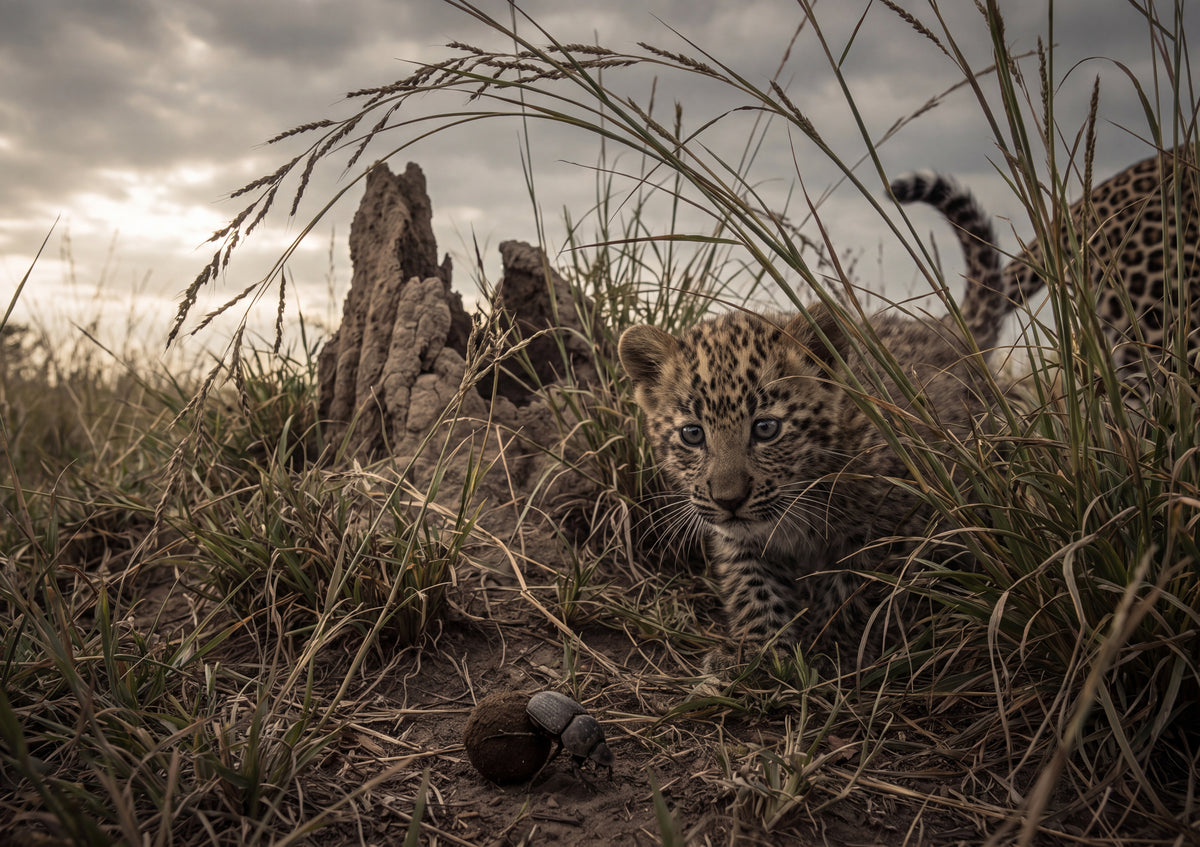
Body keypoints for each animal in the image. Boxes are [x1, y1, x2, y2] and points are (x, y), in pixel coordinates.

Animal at [618, 178, 1004, 669]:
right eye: (692, 434)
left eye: (766, 429)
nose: (729, 500)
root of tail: (948, 333)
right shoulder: (740, 540)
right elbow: (752, 585)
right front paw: (760, 653)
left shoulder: (898, 524)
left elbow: (856, 592)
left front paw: (827, 648)